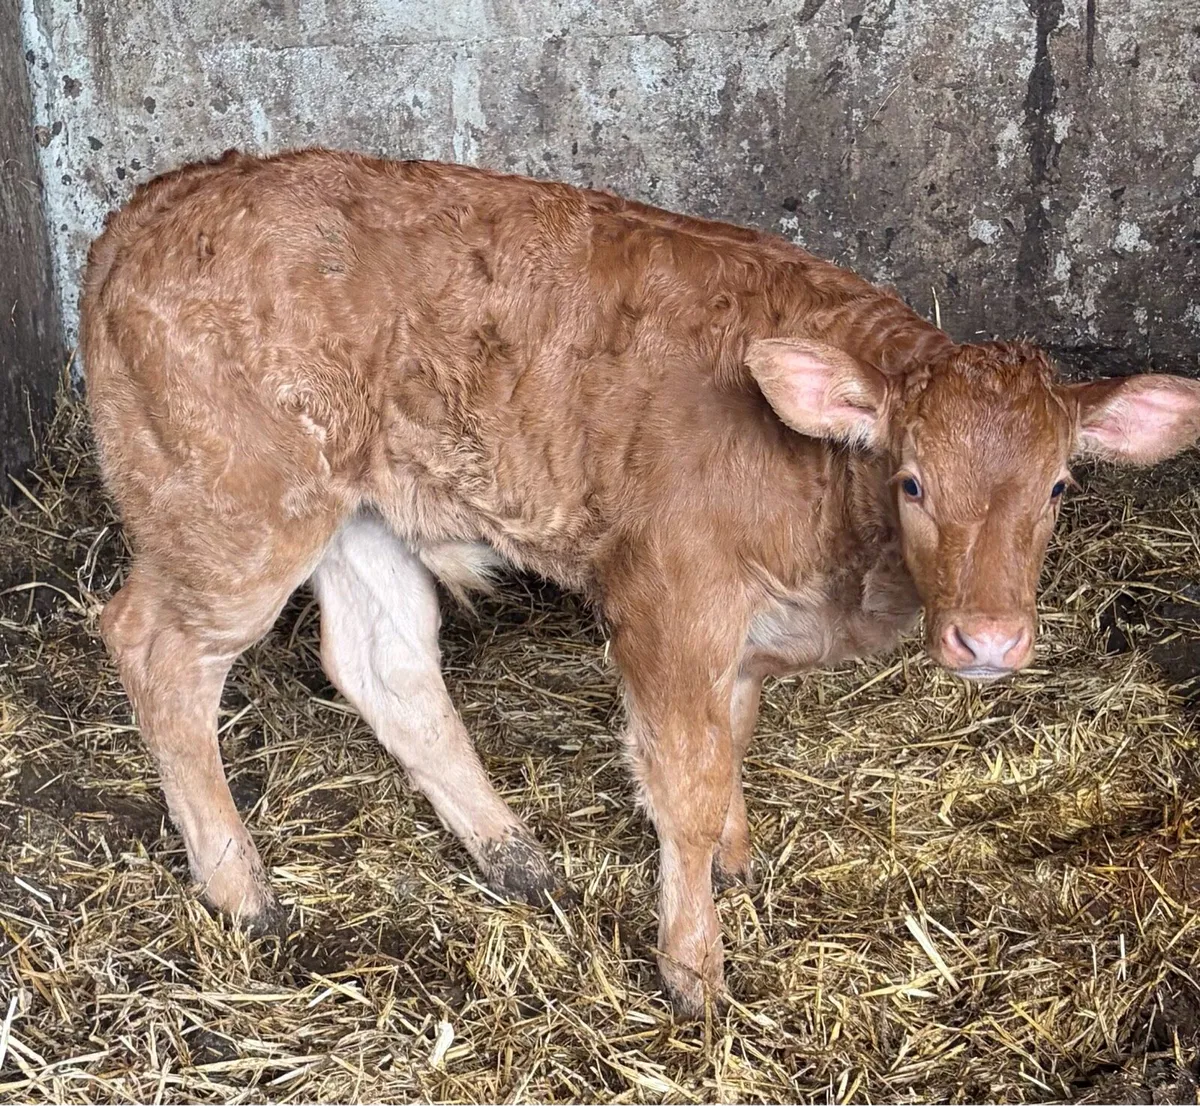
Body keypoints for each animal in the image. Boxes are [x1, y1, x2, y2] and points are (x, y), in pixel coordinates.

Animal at [80, 148, 1200, 1016]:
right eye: (914, 479)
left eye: (1059, 484)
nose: (990, 641)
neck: (835, 550)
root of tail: (148, 207)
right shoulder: (670, 603)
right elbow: (686, 787)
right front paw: (693, 968)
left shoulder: (744, 635)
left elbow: (733, 741)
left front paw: (737, 864)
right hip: (234, 513)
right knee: (155, 649)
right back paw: (241, 888)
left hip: (359, 507)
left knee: (382, 662)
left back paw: (512, 854)